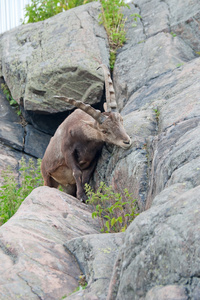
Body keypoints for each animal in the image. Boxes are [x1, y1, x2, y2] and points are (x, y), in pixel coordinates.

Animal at [41, 65, 131, 202]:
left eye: (121, 120)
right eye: (104, 131)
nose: (127, 141)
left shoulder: (94, 156)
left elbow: (86, 175)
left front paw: (86, 195)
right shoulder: (68, 152)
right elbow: (77, 172)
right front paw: (81, 197)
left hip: (67, 185)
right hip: (47, 176)